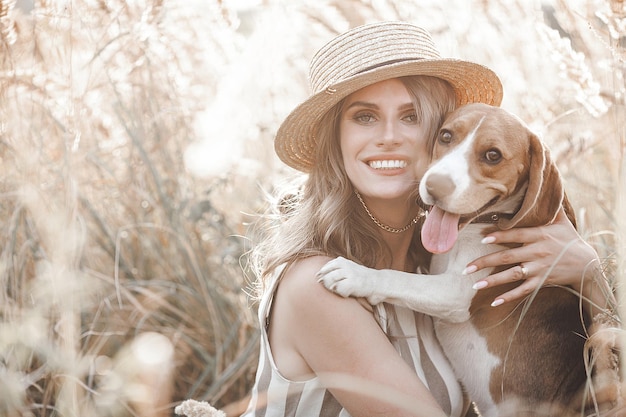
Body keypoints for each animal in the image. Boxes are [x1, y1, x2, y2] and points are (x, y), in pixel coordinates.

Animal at [320, 103, 596, 416]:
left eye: (492, 155)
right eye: (446, 136)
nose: (434, 186)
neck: (477, 225)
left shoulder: (456, 292)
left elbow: (399, 278)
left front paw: (356, 274)